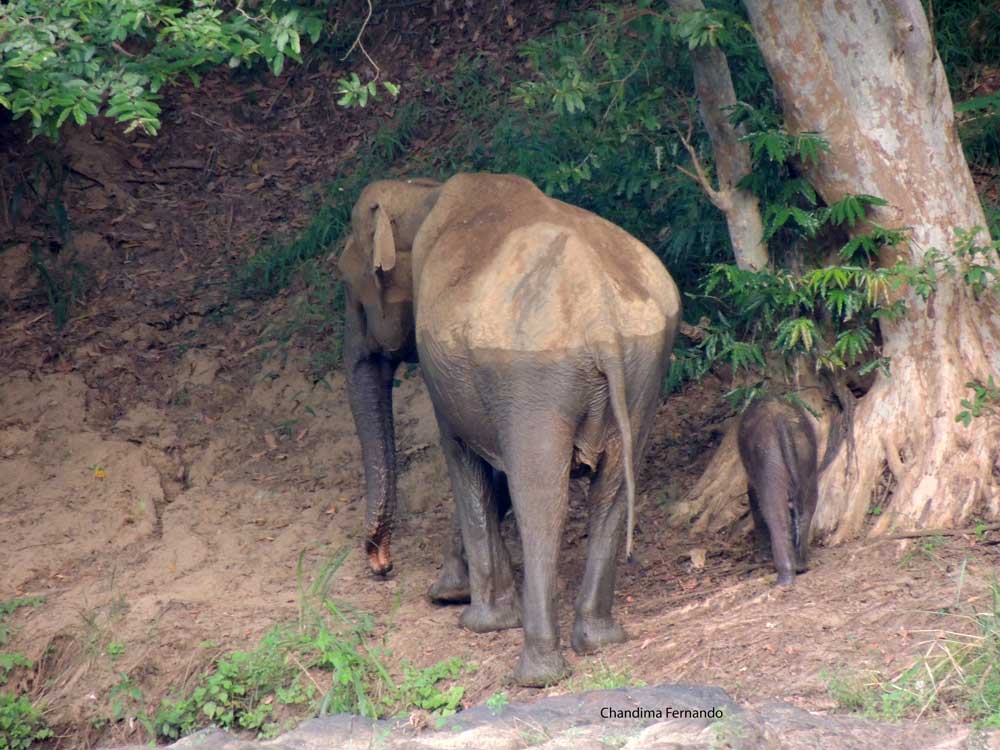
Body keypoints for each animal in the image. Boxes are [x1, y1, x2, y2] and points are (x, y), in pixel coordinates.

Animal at [338, 175, 680, 688]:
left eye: (349, 285)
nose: (381, 564)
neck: (421, 192)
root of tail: (601, 315)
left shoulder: (450, 373)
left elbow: (462, 455)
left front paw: (474, 617)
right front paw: (452, 593)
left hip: (536, 379)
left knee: (540, 497)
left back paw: (537, 673)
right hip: (644, 368)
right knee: (615, 488)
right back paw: (598, 641)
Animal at [740, 400, 816, 588]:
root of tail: (782, 422)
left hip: (769, 461)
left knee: (776, 517)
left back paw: (783, 580)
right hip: (807, 454)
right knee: (807, 510)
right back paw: (801, 566)